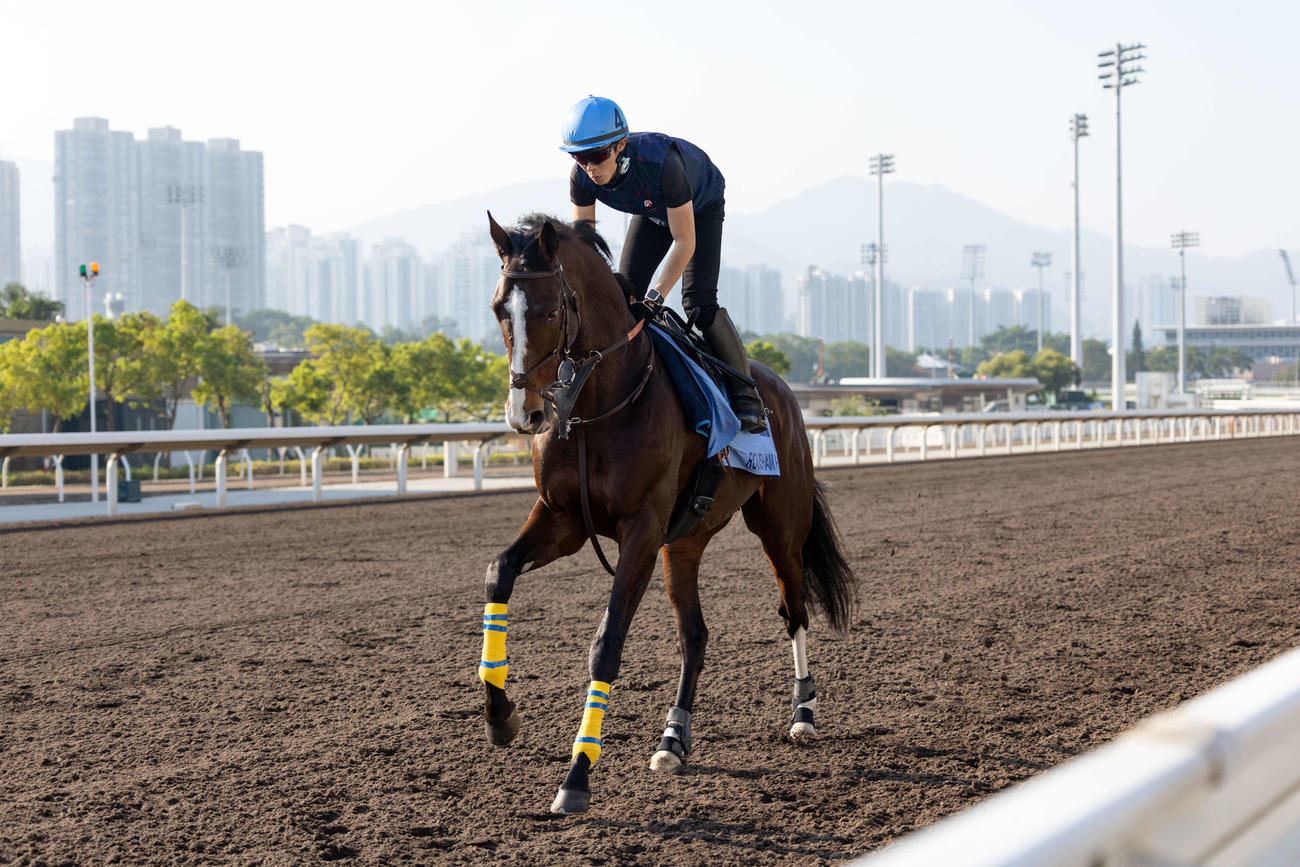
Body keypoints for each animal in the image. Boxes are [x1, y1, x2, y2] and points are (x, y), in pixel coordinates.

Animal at [479, 212, 857, 815]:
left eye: (550, 310)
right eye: (499, 308)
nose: (526, 413)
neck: (598, 406)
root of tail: (781, 391)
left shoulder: (640, 528)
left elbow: (606, 644)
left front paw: (576, 778)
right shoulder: (563, 519)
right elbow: (498, 573)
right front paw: (500, 717)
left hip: (780, 527)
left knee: (793, 610)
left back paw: (803, 715)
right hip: (684, 542)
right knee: (695, 636)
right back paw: (672, 740)